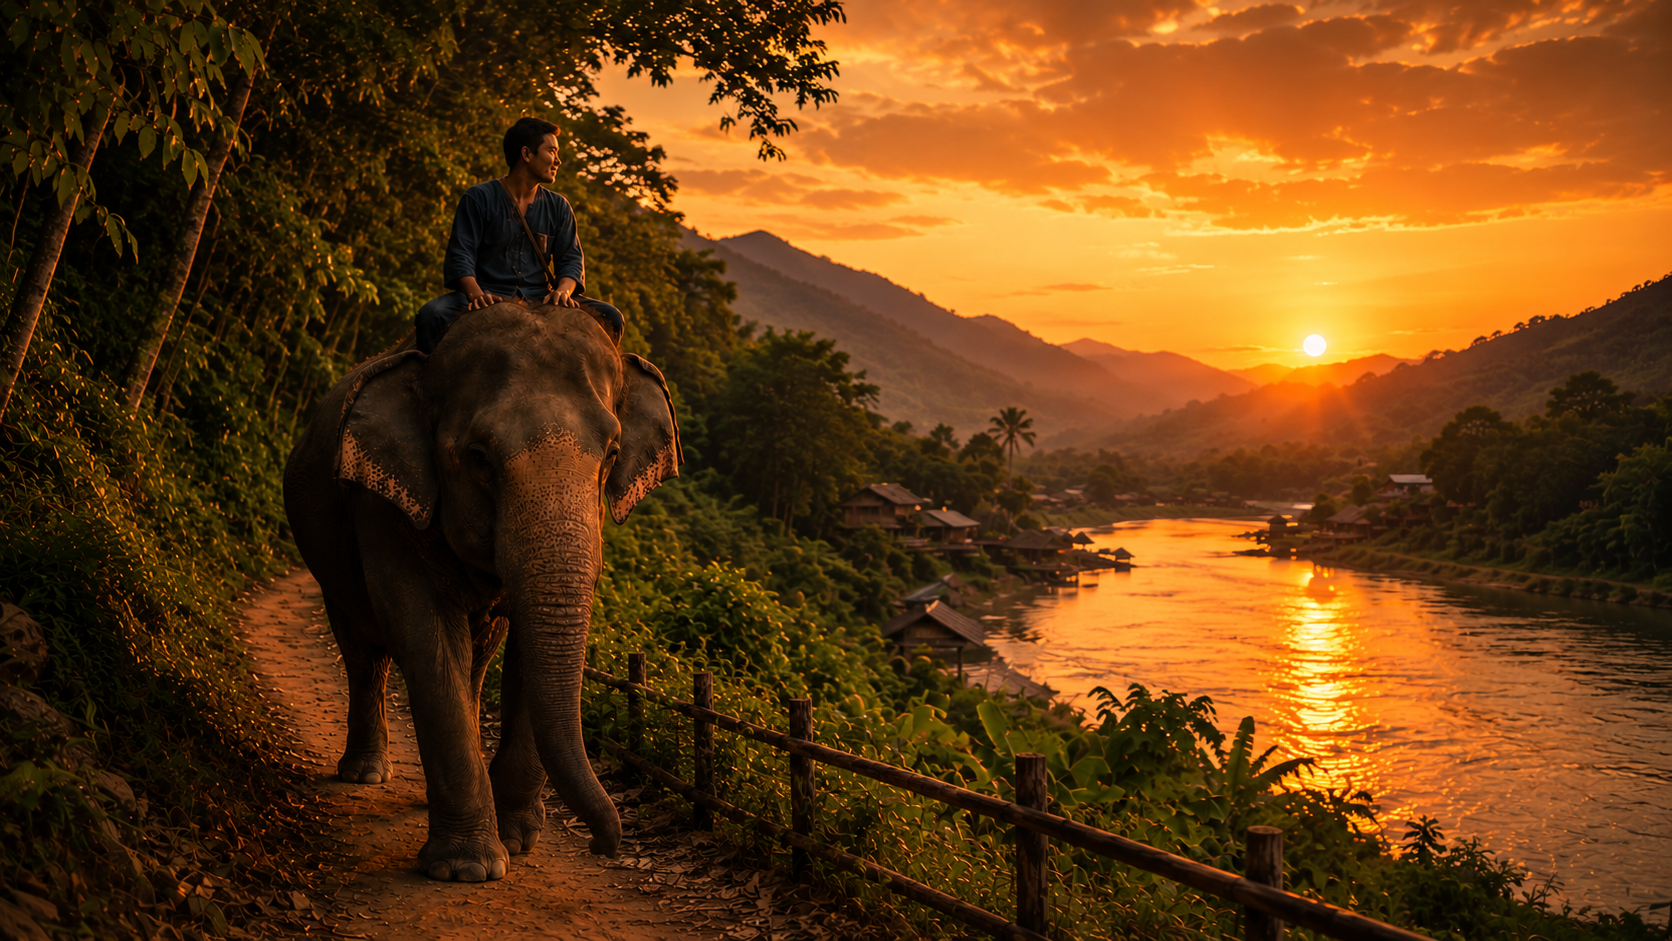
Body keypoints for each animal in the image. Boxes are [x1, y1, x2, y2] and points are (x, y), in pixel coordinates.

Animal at [282, 301, 679, 882]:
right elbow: (424, 638)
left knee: (477, 656)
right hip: (327, 557)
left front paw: (516, 840)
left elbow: (526, 654)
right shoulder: (384, 505)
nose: (603, 845)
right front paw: (468, 869)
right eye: (478, 457)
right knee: (364, 652)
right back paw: (365, 774)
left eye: (611, 454)